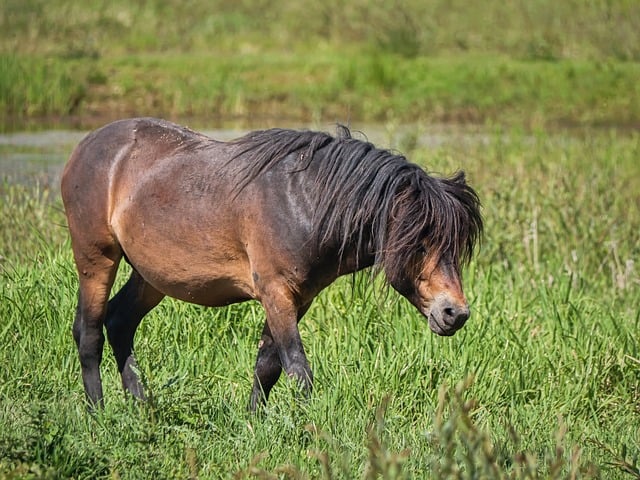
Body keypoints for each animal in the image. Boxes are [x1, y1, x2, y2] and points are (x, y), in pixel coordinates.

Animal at [61, 118, 480, 410]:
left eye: (457, 248)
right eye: (419, 242)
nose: (455, 313)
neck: (304, 202)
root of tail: (85, 147)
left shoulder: (299, 298)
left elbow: (267, 366)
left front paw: (253, 422)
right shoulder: (275, 291)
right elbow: (297, 367)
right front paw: (311, 431)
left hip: (150, 277)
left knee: (119, 322)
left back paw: (143, 407)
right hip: (96, 258)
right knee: (90, 332)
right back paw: (98, 413)